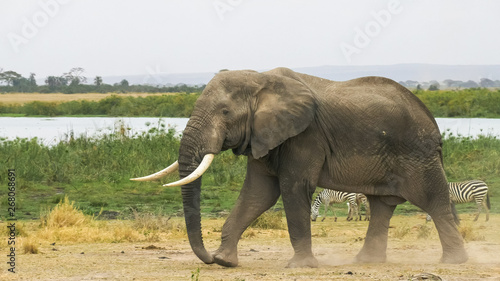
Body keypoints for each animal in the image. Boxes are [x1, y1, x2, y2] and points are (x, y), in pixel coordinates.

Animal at [131, 66, 466, 266]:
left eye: (225, 112)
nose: (209, 258)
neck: (259, 78)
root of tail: (433, 122)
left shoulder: (306, 135)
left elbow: (292, 188)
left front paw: (300, 266)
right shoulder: (265, 135)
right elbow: (257, 194)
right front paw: (227, 262)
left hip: (417, 153)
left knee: (433, 200)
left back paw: (454, 262)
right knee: (382, 205)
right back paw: (366, 263)